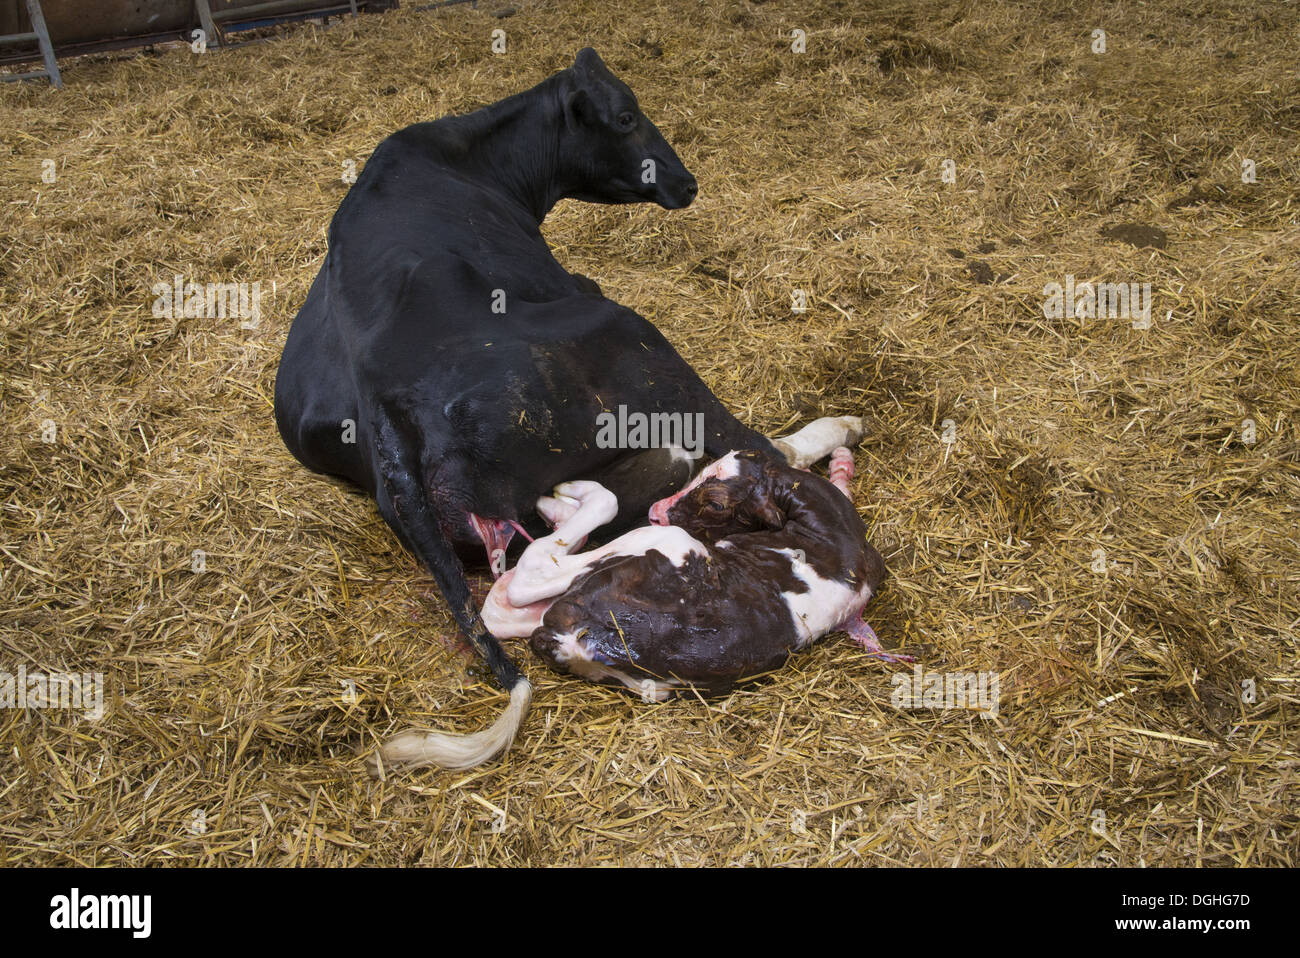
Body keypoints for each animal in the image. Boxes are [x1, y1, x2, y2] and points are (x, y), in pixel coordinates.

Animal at [275, 48, 863, 772]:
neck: (467, 158)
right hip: (636, 342)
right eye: (626, 116)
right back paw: (831, 431)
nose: (686, 182)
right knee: (746, 446)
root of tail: (379, 397)